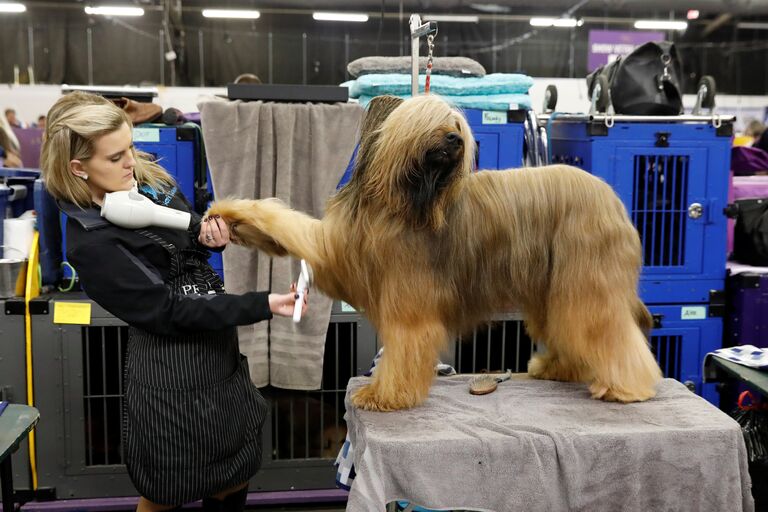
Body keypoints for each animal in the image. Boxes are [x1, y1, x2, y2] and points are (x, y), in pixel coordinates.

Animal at [207, 94, 664, 410]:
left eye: (455, 123)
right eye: (427, 121)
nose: (455, 138)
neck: (403, 202)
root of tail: (612, 199)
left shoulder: (408, 300)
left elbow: (405, 348)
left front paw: (385, 395)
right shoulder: (344, 251)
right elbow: (289, 225)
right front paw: (230, 217)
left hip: (586, 283)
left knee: (605, 330)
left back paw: (627, 387)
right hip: (554, 291)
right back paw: (559, 369)